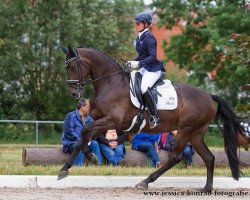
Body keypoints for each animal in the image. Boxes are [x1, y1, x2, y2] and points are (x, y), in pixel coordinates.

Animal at [58, 46, 242, 193]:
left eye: (73, 66)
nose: (73, 93)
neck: (110, 83)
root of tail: (209, 96)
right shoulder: (99, 120)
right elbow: (85, 135)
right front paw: (89, 158)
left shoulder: (112, 121)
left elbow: (85, 131)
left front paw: (65, 169)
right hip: (196, 133)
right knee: (209, 158)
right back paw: (206, 188)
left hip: (185, 130)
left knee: (175, 157)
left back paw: (145, 182)